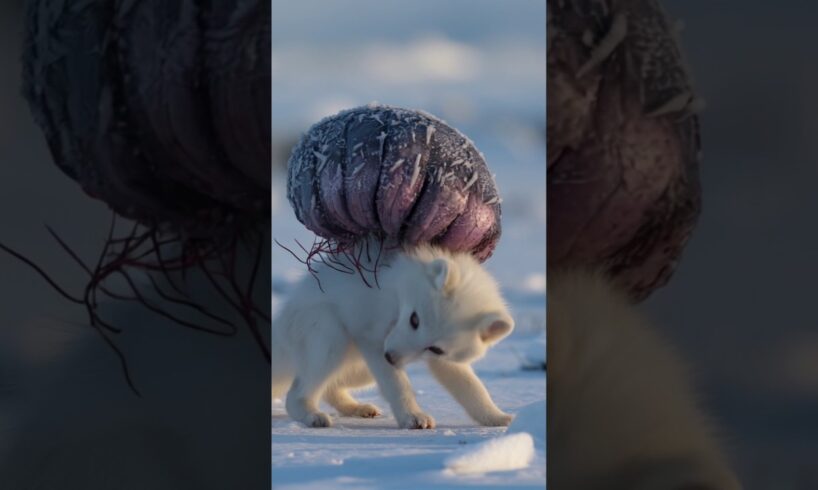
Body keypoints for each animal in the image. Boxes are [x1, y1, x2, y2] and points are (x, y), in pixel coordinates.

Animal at [272, 241, 516, 429]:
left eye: (435, 349)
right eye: (414, 319)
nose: (390, 357)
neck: (395, 300)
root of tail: (281, 327)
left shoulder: (445, 361)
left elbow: (473, 388)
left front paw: (497, 418)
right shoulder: (371, 341)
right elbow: (398, 384)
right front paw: (412, 417)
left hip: (360, 371)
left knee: (329, 387)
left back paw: (357, 408)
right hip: (331, 338)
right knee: (296, 395)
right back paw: (312, 415)